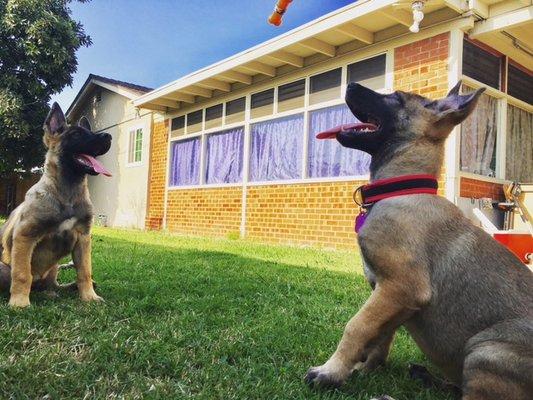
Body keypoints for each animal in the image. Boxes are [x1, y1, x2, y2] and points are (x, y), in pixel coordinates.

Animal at [0, 102, 110, 306]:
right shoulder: (25, 235)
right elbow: (22, 274)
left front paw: (89, 296)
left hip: (54, 267)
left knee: (53, 285)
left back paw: (65, 289)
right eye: (76, 134)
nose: (108, 137)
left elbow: (84, 271)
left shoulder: (83, 238)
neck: (67, 193)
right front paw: (19, 303)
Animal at [304, 83, 532, 398]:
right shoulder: (392, 296)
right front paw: (365, 368)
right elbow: (380, 335)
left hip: (486, 350)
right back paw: (424, 376)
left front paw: (331, 371)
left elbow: (357, 326)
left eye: (397, 98)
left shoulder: (401, 287)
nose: (349, 85)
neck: (402, 190)